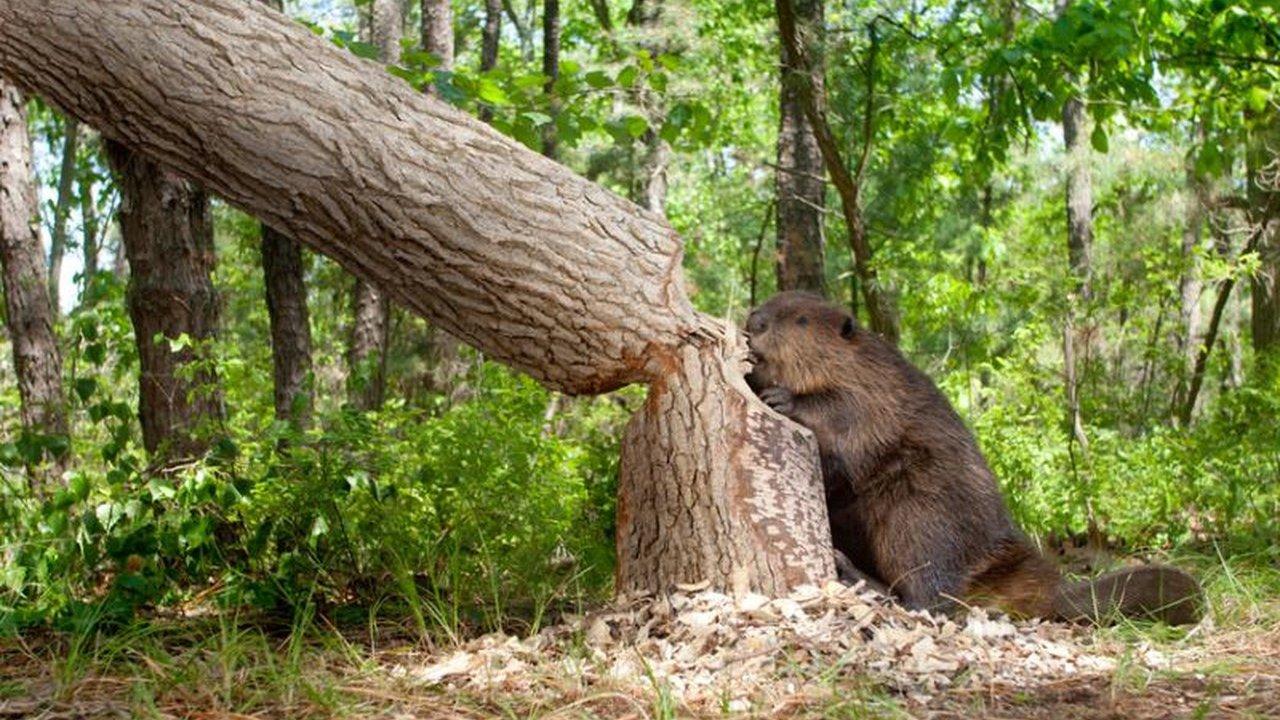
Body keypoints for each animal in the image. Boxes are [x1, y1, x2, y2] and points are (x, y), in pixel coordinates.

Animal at [747, 286, 1203, 622]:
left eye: (802, 320)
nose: (754, 321)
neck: (856, 361)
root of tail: (1051, 592)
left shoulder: (875, 390)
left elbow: (844, 415)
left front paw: (782, 397)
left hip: (920, 515)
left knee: (932, 598)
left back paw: (855, 574)